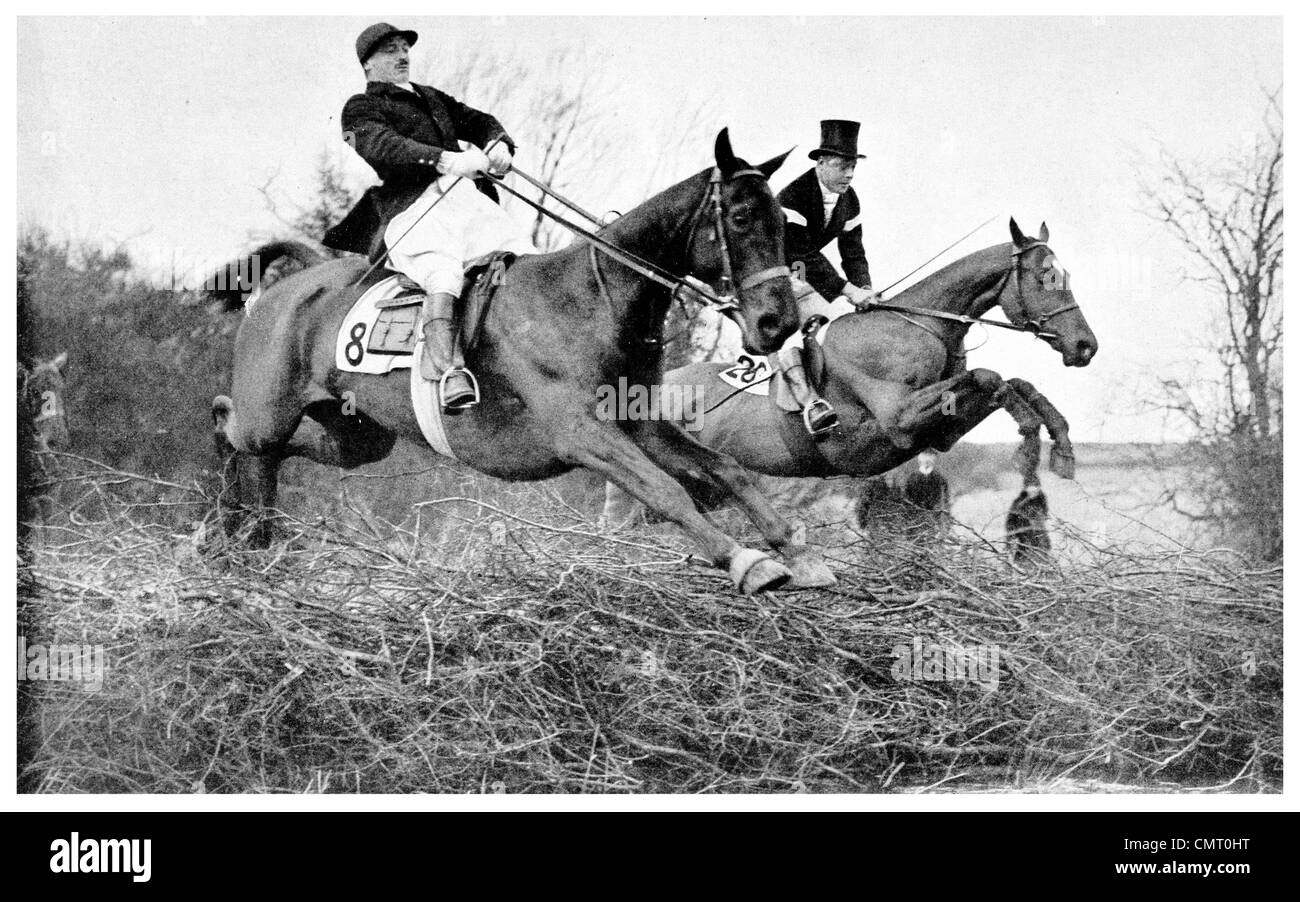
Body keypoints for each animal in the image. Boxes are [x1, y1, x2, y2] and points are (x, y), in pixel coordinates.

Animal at [210, 128, 842, 592]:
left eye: (783, 223)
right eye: (740, 218)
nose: (778, 324)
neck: (591, 300)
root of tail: (292, 284)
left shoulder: (639, 423)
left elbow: (724, 468)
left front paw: (799, 552)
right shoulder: (581, 433)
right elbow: (665, 490)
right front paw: (745, 560)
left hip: (357, 435)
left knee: (265, 445)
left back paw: (242, 535)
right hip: (271, 414)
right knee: (241, 437)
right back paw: (234, 529)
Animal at [598, 220, 1097, 530]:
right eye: (1045, 276)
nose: (1085, 346)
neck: (918, 326)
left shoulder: (940, 432)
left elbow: (1010, 383)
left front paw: (1059, 447)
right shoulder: (897, 423)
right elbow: (990, 376)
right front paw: (1032, 440)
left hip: (704, 490)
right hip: (647, 485)